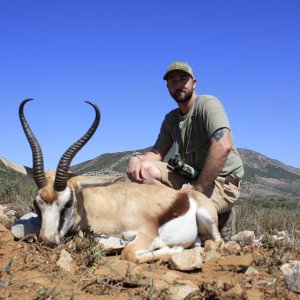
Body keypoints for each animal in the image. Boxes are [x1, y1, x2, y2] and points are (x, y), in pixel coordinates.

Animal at [18, 99, 220, 262]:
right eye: (36, 203)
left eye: (67, 203)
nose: (47, 239)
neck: (111, 208)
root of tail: (188, 195)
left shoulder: (148, 234)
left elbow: (128, 254)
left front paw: (174, 249)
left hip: (208, 220)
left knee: (216, 243)